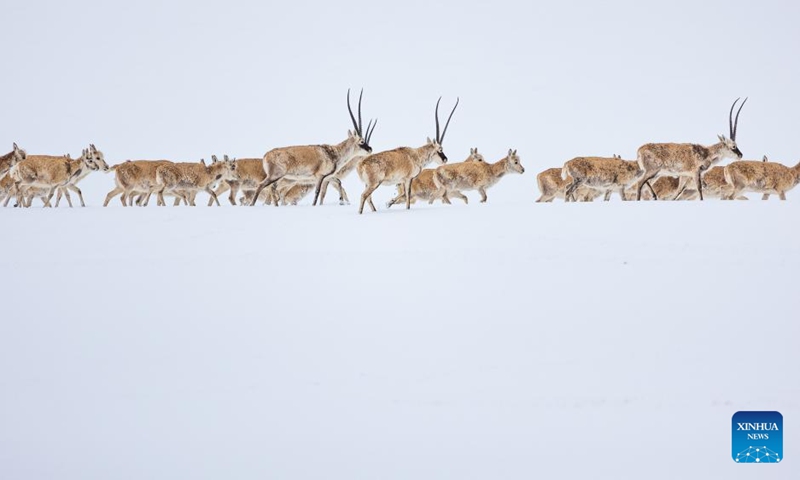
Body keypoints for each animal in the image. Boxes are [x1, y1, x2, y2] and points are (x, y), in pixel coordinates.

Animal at [248, 90, 376, 206]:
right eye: (362, 141)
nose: (370, 149)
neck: (333, 152)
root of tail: (266, 155)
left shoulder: (327, 177)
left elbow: (337, 183)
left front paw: (341, 201)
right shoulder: (319, 176)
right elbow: (318, 192)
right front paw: (315, 205)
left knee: (272, 189)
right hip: (276, 176)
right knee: (262, 186)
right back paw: (252, 205)